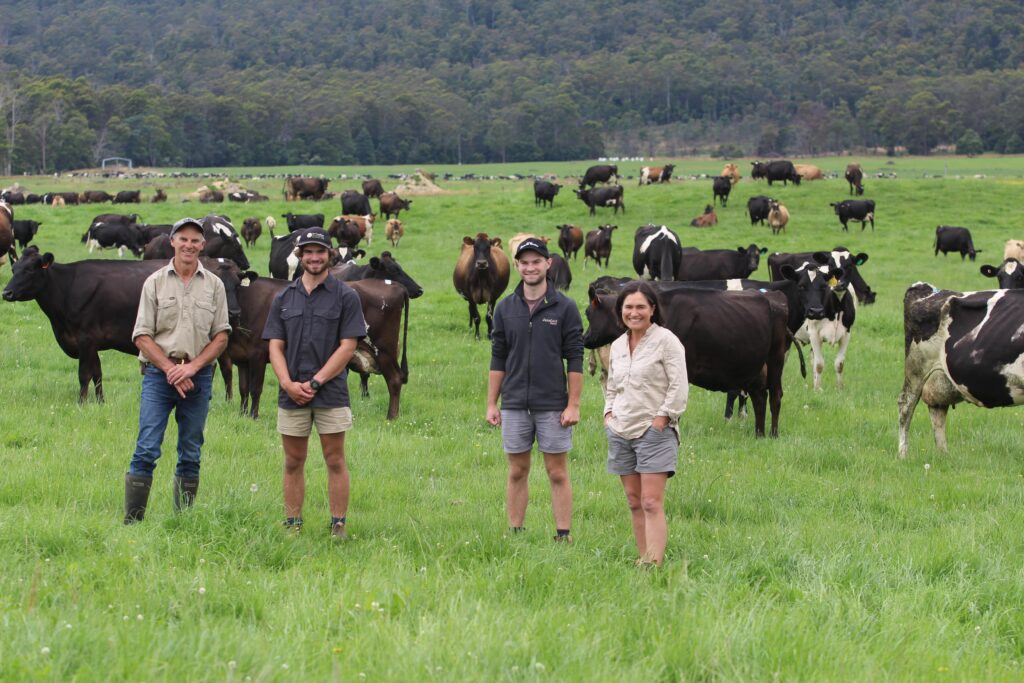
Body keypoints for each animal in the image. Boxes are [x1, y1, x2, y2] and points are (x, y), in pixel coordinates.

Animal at [2, 249, 253, 401]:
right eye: (14, 269)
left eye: (30, 270)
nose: (6, 292)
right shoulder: (92, 343)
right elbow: (97, 373)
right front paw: (100, 402)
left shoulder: (85, 338)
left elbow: (84, 374)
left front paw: (81, 403)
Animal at [901, 282, 1024, 458]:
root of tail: (928, 289)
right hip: (916, 369)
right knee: (906, 407)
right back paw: (903, 455)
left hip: (940, 378)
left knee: (937, 410)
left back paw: (943, 455)